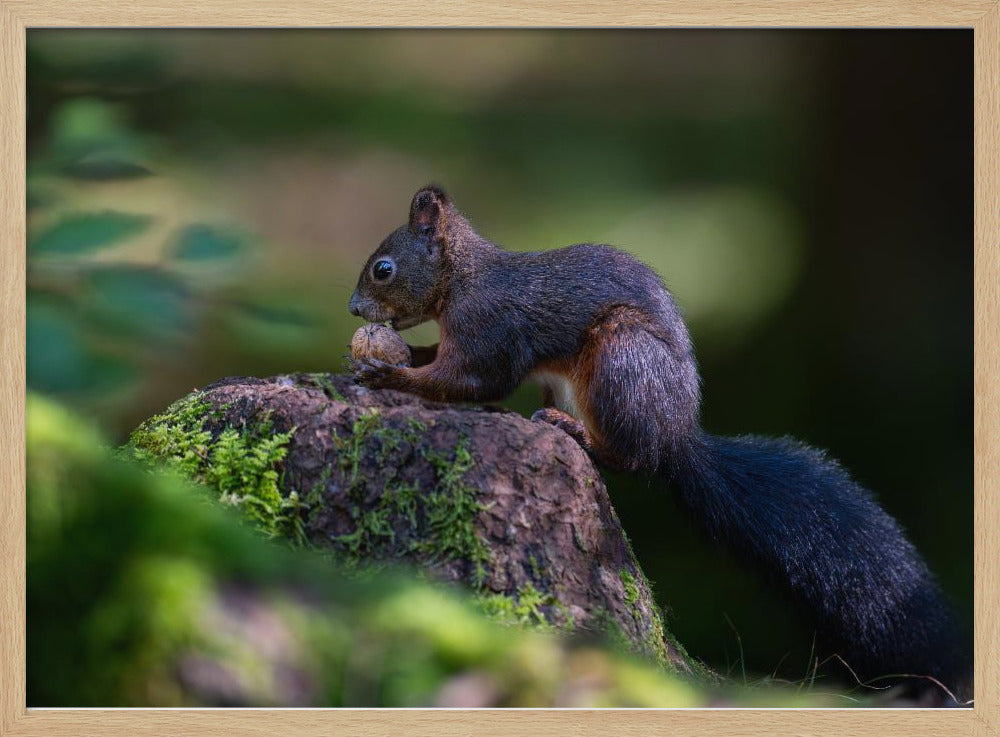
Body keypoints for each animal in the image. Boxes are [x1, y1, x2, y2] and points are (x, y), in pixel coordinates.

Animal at [348, 185, 968, 696]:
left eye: (383, 268)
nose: (353, 309)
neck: (463, 279)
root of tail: (677, 436)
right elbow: (446, 364)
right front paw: (388, 356)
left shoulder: (489, 329)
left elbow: (474, 380)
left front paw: (389, 375)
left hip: (622, 359)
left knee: (631, 458)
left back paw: (576, 432)